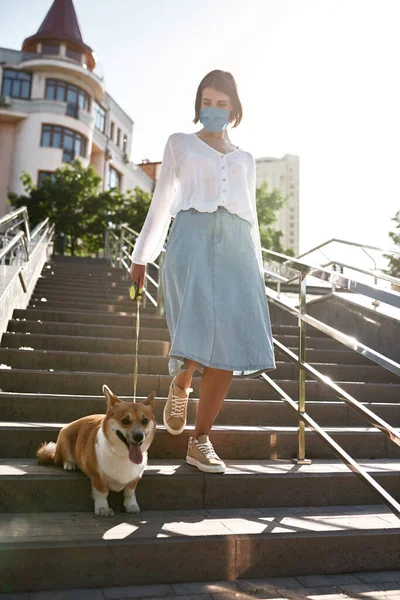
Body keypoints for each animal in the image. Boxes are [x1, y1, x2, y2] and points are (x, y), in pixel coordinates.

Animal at [36, 384, 157, 516]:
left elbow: (129, 491)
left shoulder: (135, 477)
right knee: (64, 458)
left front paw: (131, 505)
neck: (123, 455)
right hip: (64, 439)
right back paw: (69, 464)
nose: (139, 436)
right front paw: (102, 508)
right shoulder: (97, 475)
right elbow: (102, 492)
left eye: (145, 421)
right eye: (125, 420)